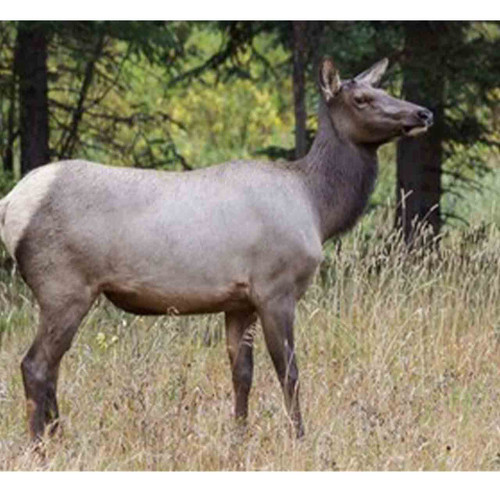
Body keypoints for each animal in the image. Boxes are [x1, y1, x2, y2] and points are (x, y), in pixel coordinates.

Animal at [0, 57, 430, 442]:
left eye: (384, 90)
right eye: (362, 98)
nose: (423, 112)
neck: (318, 207)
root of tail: (10, 204)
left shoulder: (239, 301)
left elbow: (242, 373)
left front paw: (238, 437)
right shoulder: (275, 288)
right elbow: (289, 372)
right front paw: (300, 439)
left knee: (52, 367)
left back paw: (57, 436)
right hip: (64, 284)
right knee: (35, 364)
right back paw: (40, 445)